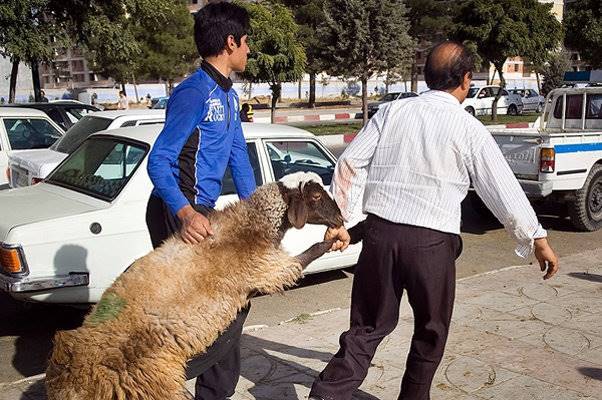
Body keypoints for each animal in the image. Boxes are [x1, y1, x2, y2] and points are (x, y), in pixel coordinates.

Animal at [44, 172, 344, 400]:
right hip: (151, 383)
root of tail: (68, 376)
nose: (341, 219)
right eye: (316, 196)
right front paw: (332, 241)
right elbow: (306, 255)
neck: (249, 224)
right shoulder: (266, 268)